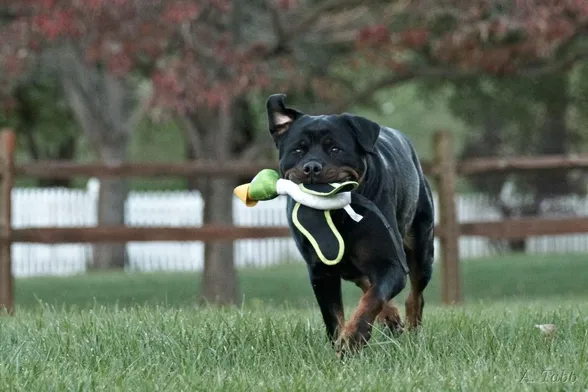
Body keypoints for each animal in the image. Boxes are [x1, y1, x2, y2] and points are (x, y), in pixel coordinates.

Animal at [266, 94, 436, 352]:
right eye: (298, 150)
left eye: (335, 149)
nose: (312, 166)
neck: (336, 215)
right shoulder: (320, 271)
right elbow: (334, 316)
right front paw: (341, 343)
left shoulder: (392, 264)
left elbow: (372, 300)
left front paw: (352, 340)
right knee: (365, 281)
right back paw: (391, 318)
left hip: (422, 247)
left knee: (415, 294)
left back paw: (412, 330)